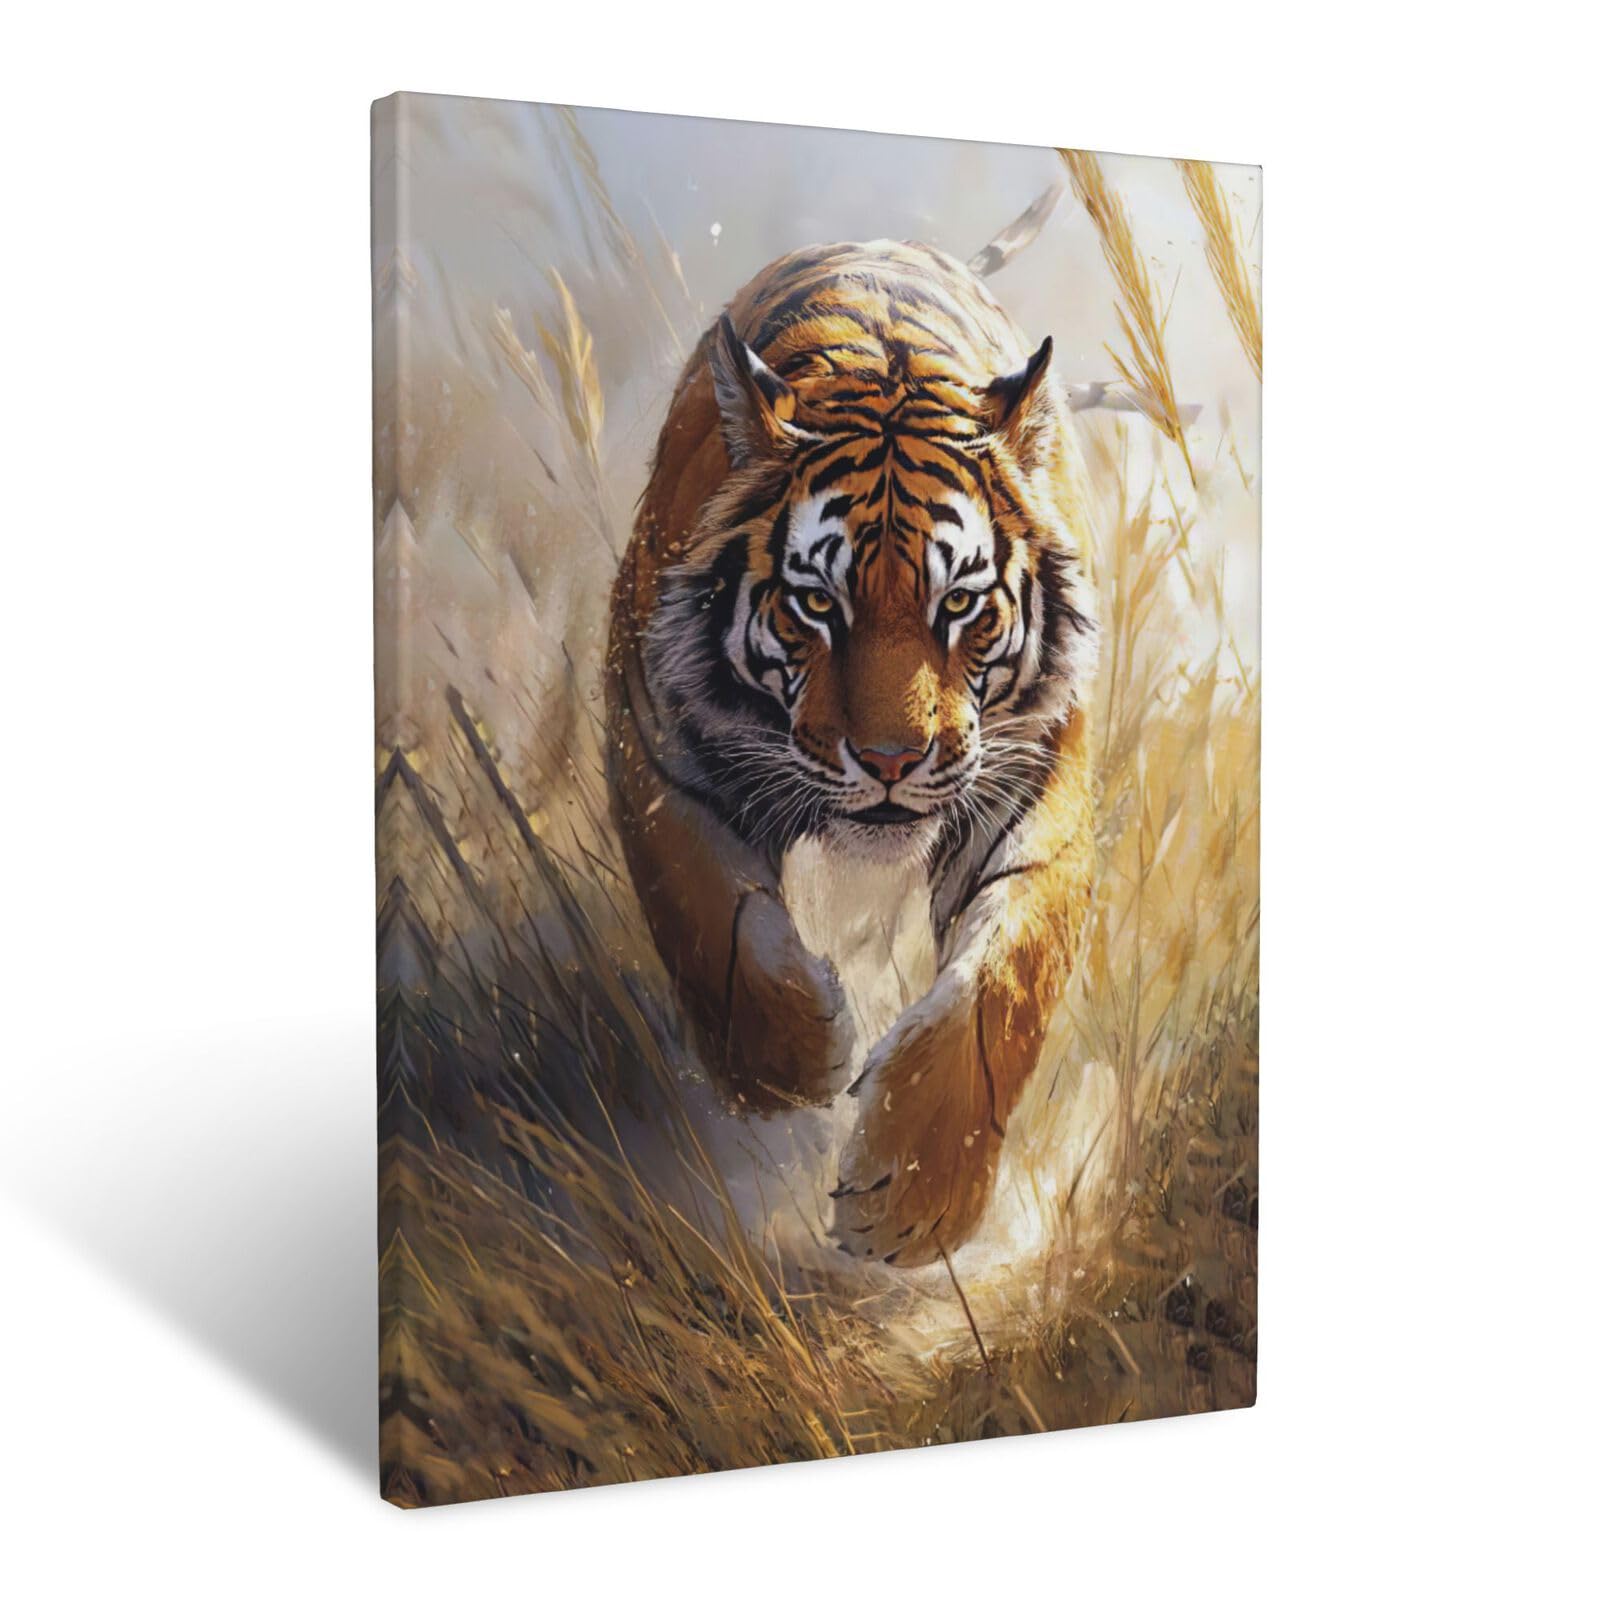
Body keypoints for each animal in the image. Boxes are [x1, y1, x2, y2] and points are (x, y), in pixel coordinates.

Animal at [605, 239, 1097, 1267]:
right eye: (817, 604)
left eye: (960, 604)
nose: (892, 761)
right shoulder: (655, 746)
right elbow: (710, 921)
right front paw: (791, 1068)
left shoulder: (1035, 786)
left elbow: (1003, 985)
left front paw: (913, 1201)